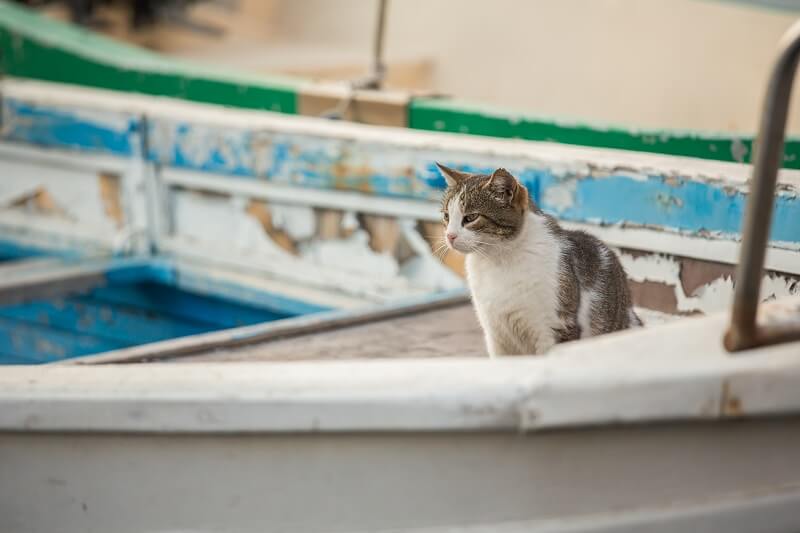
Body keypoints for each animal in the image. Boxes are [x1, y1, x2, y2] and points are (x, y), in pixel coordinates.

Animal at [434, 162, 640, 354]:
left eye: (471, 218)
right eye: (447, 216)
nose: (449, 236)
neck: (497, 260)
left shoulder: (555, 326)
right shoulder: (496, 334)